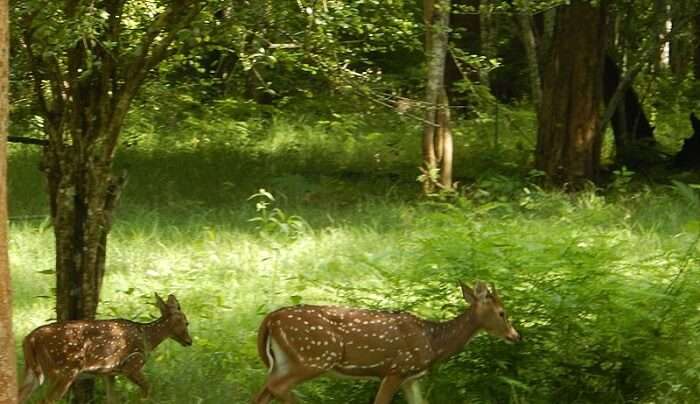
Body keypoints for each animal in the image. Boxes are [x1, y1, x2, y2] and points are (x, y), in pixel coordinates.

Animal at [18, 294, 193, 404]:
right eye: (186, 322)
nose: (189, 341)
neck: (147, 338)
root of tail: (29, 339)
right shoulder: (131, 365)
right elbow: (148, 389)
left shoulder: (109, 373)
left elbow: (112, 400)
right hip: (65, 369)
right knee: (46, 400)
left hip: (34, 370)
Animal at [252, 280, 520, 404]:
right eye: (502, 313)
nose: (516, 336)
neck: (432, 342)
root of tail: (270, 319)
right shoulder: (395, 369)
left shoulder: (410, 377)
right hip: (315, 356)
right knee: (276, 387)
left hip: (286, 361)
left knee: (264, 391)